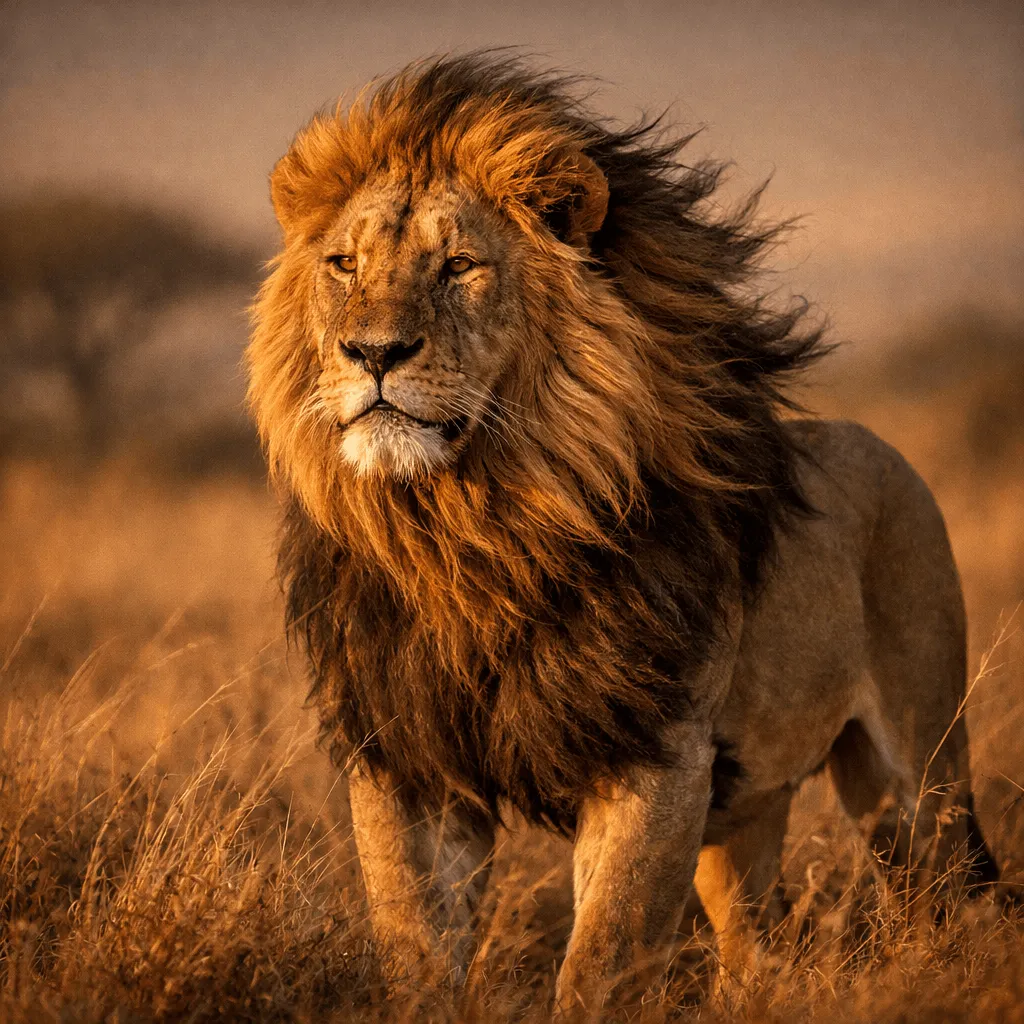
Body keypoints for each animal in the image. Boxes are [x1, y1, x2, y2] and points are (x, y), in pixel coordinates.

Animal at [247, 53, 997, 1016]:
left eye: (459, 266)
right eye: (343, 264)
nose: (372, 353)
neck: (471, 532)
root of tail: (887, 448)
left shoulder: (658, 758)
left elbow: (602, 958)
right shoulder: (406, 764)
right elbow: (413, 946)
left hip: (919, 772)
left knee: (944, 901)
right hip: (745, 818)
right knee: (761, 946)